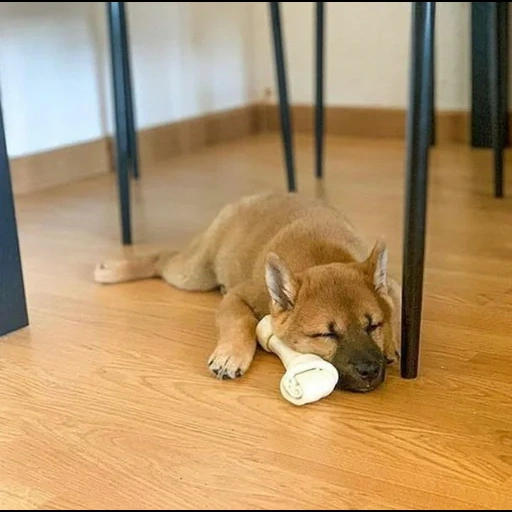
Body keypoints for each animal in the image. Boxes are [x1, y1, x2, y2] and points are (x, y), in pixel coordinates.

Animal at [95, 192, 400, 392]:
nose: (370, 371)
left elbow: (395, 311)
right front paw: (230, 355)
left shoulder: (393, 286)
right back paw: (112, 270)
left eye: (373, 325)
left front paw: (392, 343)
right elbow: (241, 320)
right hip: (194, 274)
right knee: (162, 259)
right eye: (326, 334)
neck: (321, 258)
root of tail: (251, 197)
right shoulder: (239, 296)